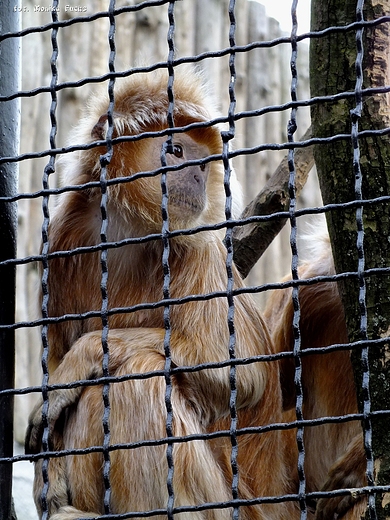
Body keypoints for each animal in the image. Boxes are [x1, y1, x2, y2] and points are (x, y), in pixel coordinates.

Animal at [26, 69, 296, 520]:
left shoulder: (202, 247)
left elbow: (245, 374)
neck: (129, 229)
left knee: (138, 373)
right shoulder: (61, 241)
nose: (199, 176)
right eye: (175, 150)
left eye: (202, 161)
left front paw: (81, 358)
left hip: (218, 505)